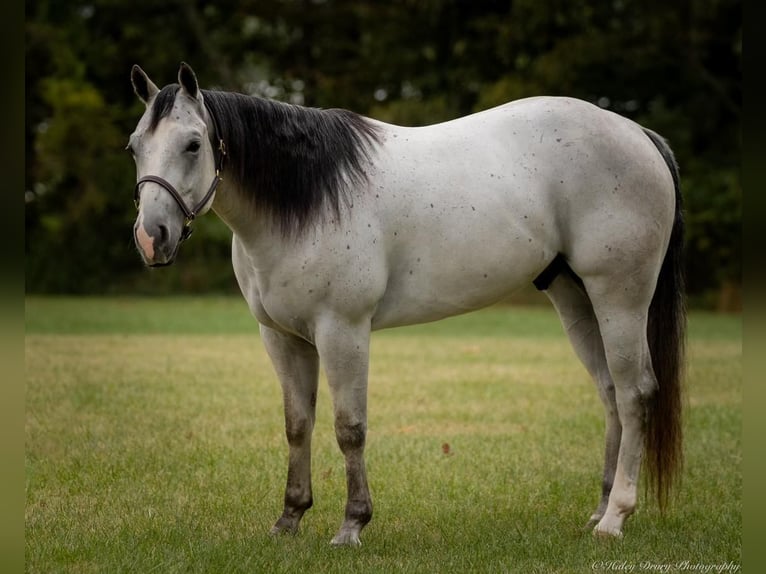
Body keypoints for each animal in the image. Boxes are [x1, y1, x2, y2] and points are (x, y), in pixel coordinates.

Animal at [129, 63, 688, 548]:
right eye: (134, 147)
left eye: (193, 144)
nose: (151, 238)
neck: (309, 197)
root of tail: (638, 134)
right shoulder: (281, 338)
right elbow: (297, 425)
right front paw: (289, 519)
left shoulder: (343, 331)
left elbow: (349, 428)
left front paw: (352, 525)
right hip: (576, 298)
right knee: (610, 394)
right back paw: (600, 508)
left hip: (620, 296)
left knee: (635, 394)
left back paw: (615, 519)